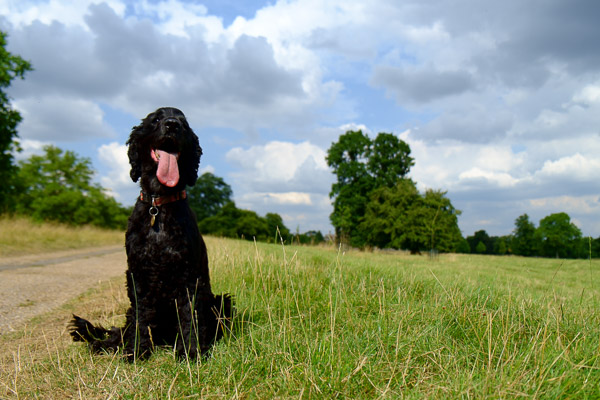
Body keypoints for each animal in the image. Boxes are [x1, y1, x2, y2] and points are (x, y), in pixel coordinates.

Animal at [68, 106, 232, 360]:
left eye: (184, 124)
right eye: (156, 120)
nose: (172, 124)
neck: (159, 204)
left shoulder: (189, 276)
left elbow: (190, 314)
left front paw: (191, 351)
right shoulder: (138, 274)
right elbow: (141, 317)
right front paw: (137, 350)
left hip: (221, 301)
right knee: (123, 329)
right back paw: (105, 343)